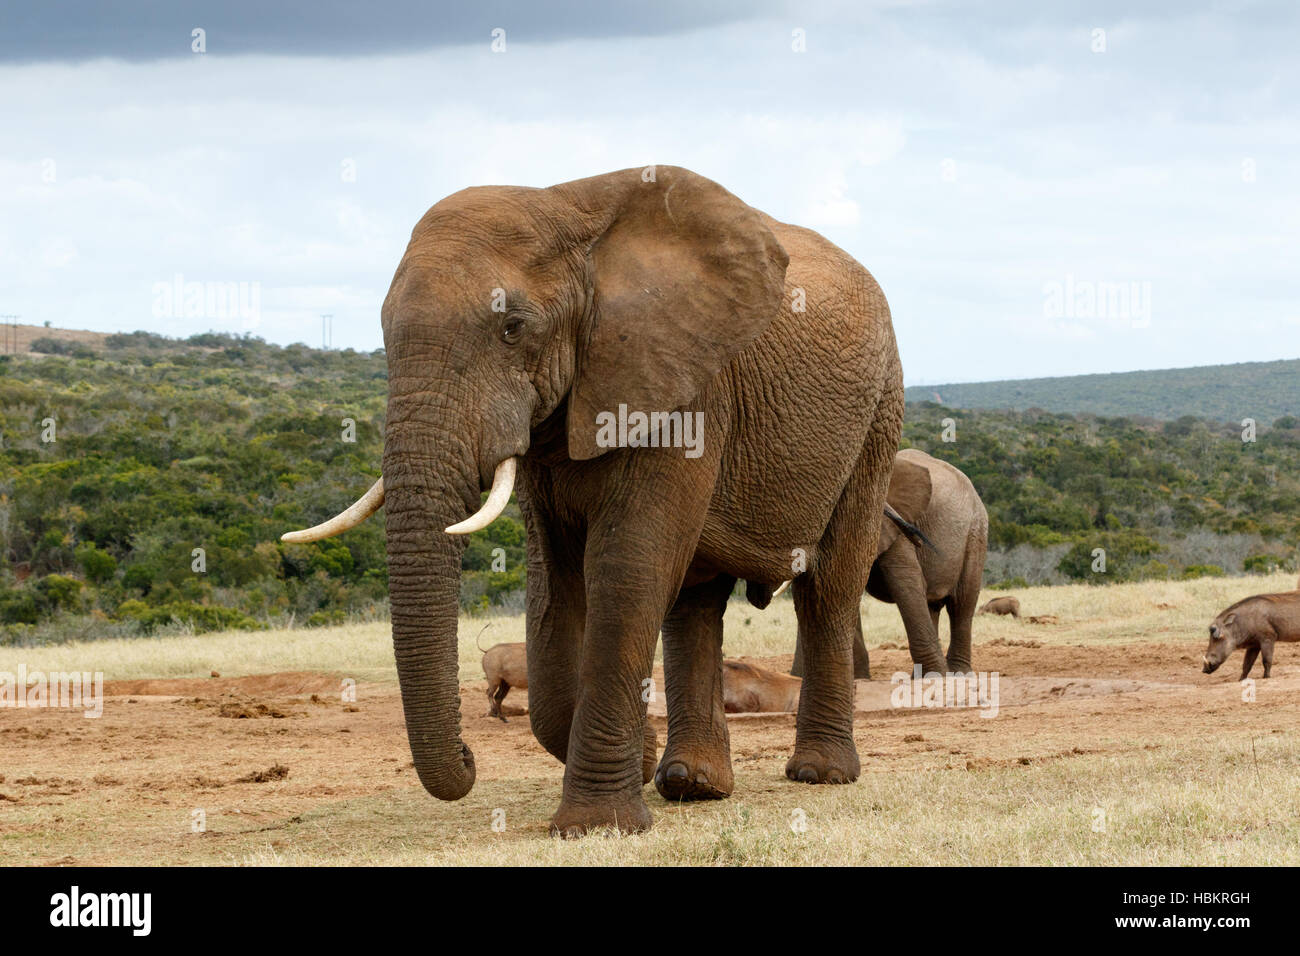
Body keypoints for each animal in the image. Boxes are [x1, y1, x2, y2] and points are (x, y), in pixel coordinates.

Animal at [282, 166, 904, 837]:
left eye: (512, 328)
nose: (470, 759)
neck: (564, 210)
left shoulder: (683, 387)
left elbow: (629, 565)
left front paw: (597, 823)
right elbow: (554, 581)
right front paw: (641, 761)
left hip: (879, 414)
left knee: (830, 586)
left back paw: (819, 774)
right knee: (696, 599)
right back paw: (691, 783)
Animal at [790, 450, 982, 681]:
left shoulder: (894, 525)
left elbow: (904, 579)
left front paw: (937, 677)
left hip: (975, 532)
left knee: (960, 604)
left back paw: (956, 674)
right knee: (931, 604)